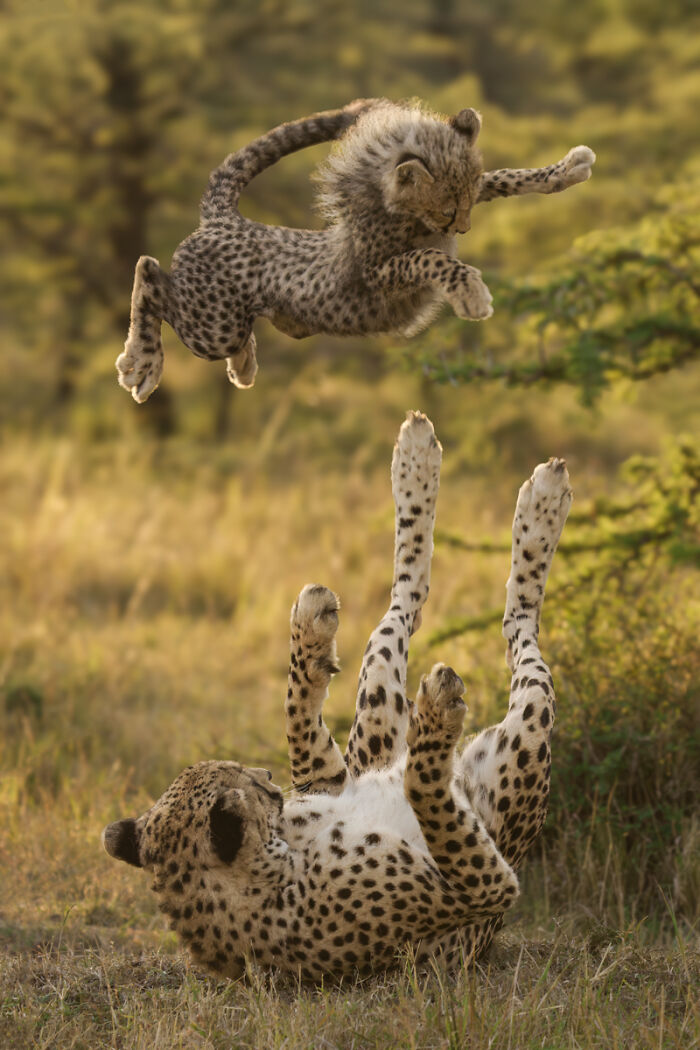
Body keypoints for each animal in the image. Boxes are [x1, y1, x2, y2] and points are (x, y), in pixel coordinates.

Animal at [103, 410, 573, 982]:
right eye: (244, 780)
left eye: (234, 769)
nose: (268, 779)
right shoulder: (487, 888)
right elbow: (425, 791)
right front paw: (436, 724)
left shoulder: (328, 776)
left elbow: (295, 714)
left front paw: (312, 643)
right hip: (517, 745)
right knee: (513, 626)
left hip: (373, 728)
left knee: (403, 601)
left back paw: (419, 466)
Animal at [116, 98, 595, 403]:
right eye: (446, 212)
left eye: (465, 202)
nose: (464, 226)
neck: (395, 207)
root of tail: (223, 220)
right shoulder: (378, 273)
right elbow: (431, 258)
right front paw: (470, 293)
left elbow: (504, 178)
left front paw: (565, 170)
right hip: (213, 326)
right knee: (148, 271)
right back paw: (143, 362)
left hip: (225, 323)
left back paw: (244, 363)